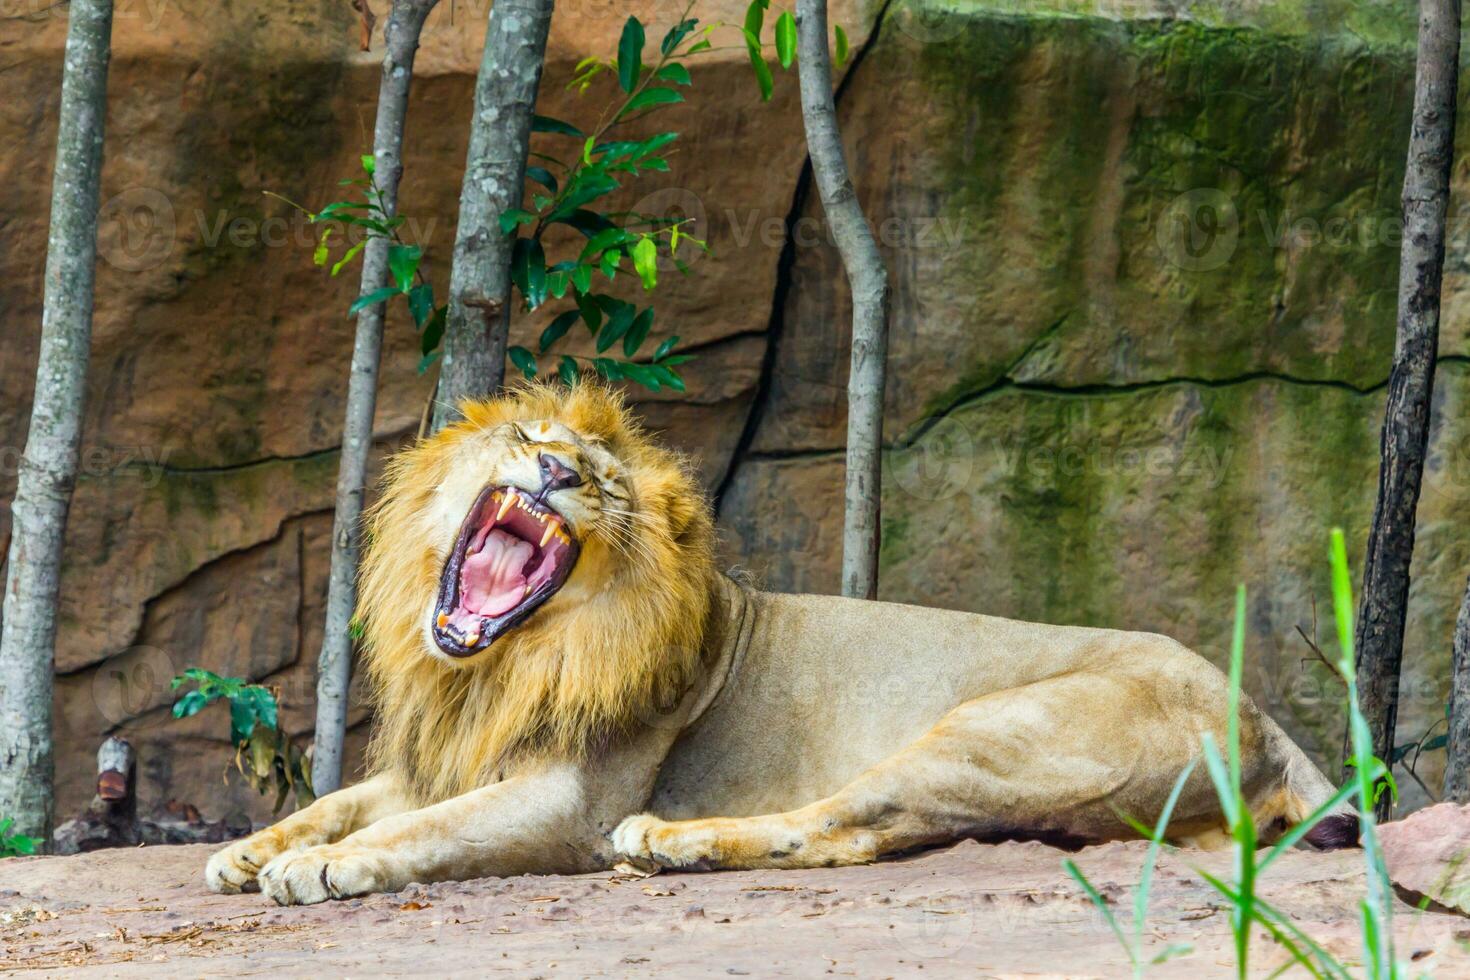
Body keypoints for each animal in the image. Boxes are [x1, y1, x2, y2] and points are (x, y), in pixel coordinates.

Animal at [207, 382, 1352, 905]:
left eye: (607, 484)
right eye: (533, 442)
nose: (561, 473)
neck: (495, 668)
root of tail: (1260, 713)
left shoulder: (568, 798)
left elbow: (420, 830)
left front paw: (319, 868)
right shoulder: (450, 752)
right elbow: (344, 797)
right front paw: (251, 848)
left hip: (991, 728)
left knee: (845, 823)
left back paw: (671, 842)